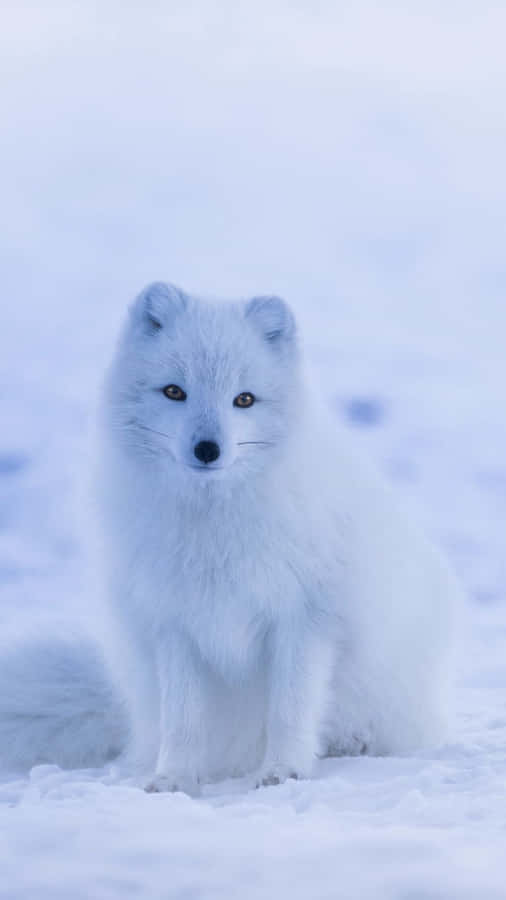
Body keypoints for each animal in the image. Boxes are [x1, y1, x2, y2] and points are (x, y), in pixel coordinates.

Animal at [0, 283, 459, 792]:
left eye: (244, 400)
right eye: (174, 391)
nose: (207, 449)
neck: (213, 527)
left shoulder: (304, 619)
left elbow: (290, 709)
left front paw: (283, 771)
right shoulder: (174, 624)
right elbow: (183, 720)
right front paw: (174, 779)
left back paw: (351, 743)